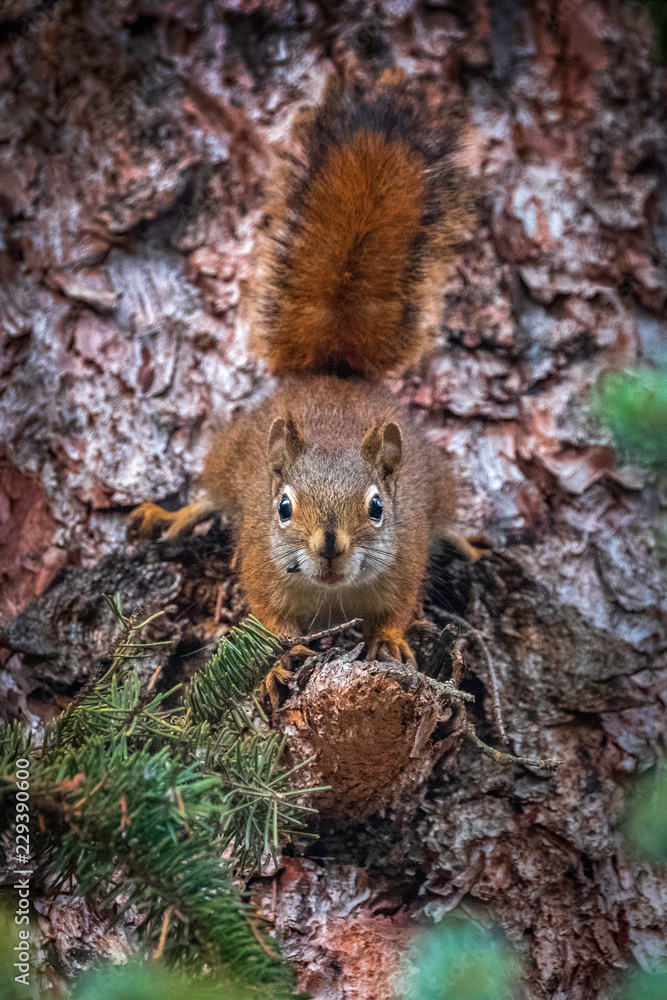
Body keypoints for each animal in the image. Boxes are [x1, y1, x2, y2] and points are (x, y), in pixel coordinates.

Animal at [128, 77, 473, 665]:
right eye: (284, 507)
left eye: (377, 507)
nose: (329, 546)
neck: (332, 592)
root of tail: (334, 375)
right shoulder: (261, 564)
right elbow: (270, 623)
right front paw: (275, 668)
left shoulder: (405, 562)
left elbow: (397, 609)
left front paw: (390, 640)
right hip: (231, 451)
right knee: (207, 496)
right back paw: (171, 516)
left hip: (439, 479)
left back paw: (468, 540)